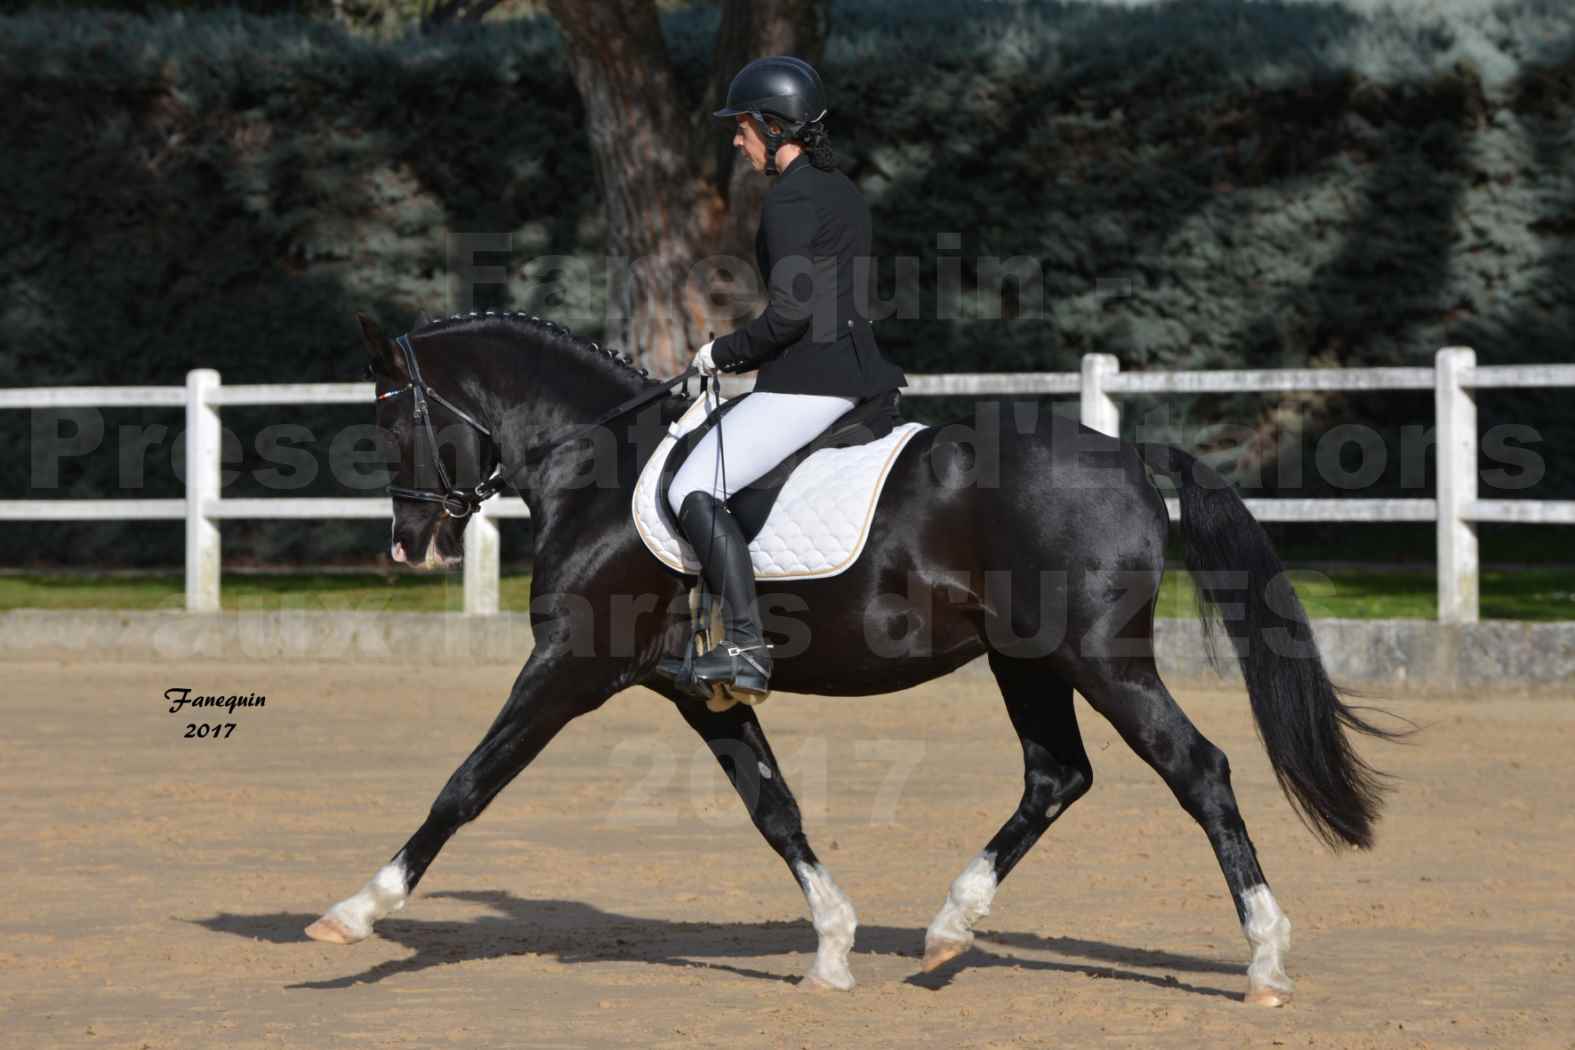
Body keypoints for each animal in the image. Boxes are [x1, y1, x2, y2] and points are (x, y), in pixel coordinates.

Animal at [303, 310, 1392, 1001]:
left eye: (392, 415)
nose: (409, 546)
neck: (600, 468)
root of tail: (1130, 454)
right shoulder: (696, 694)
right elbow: (774, 807)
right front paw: (830, 948)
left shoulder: (568, 667)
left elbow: (466, 784)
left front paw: (356, 913)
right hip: (1027, 660)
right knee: (1057, 775)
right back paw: (949, 931)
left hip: (1101, 660)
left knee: (1196, 769)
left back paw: (1264, 962)